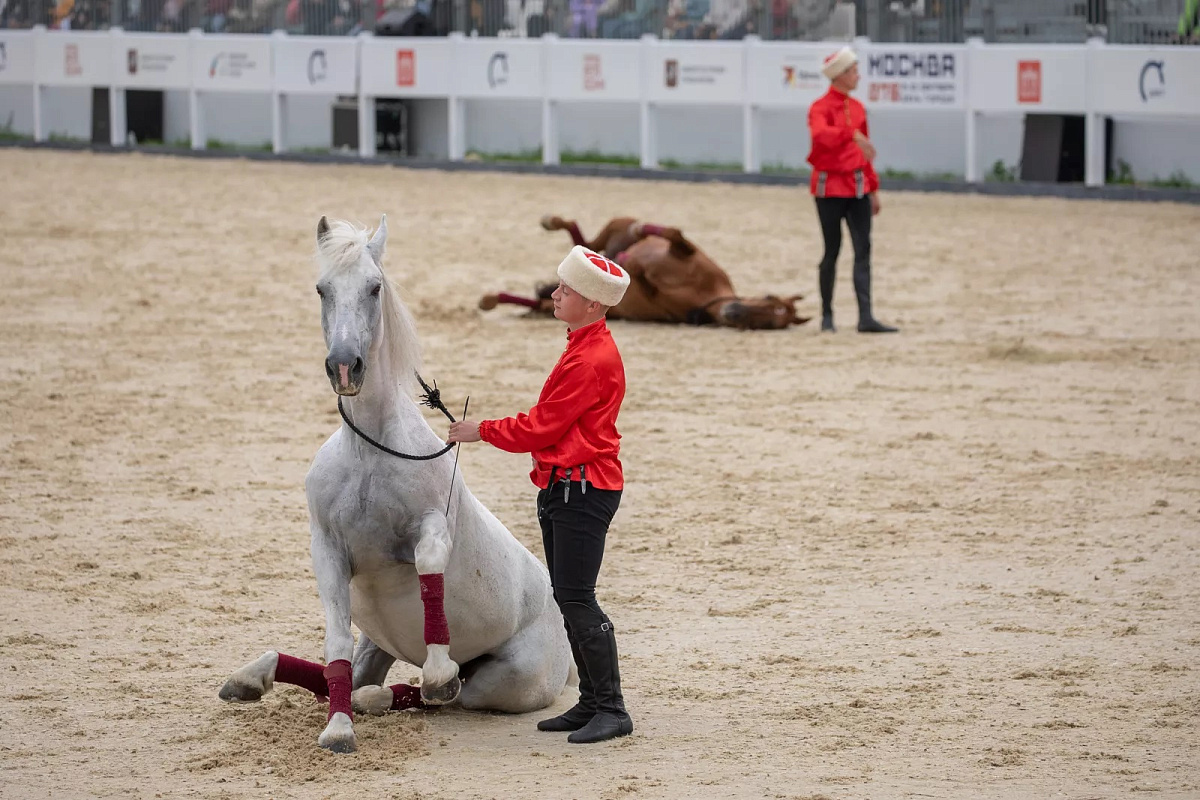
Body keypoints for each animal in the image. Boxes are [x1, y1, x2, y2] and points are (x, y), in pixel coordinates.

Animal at [222, 214, 576, 753]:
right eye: (322, 289)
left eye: (374, 287)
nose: (344, 366)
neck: (369, 455)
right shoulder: (328, 550)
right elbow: (335, 644)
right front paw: (338, 728)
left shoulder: (432, 527)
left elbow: (429, 568)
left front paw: (437, 669)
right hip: (380, 642)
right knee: (353, 675)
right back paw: (260, 677)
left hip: (507, 680)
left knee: (449, 696)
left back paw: (397, 693)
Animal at [482, 215, 811, 328]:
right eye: (769, 298)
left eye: (769, 324)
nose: (734, 312)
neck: (704, 293)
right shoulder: (685, 250)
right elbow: (674, 233)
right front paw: (638, 238)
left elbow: (641, 279)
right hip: (610, 228)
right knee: (582, 235)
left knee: (541, 299)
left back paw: (494, 298)